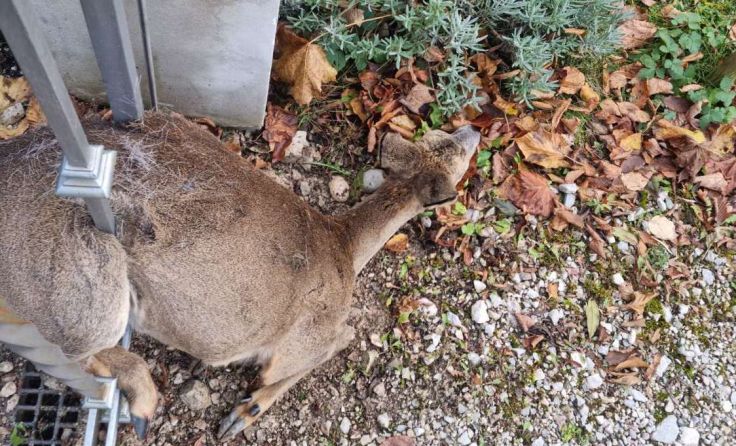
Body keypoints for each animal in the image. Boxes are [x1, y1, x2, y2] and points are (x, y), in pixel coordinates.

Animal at [0, 111, 479, 441]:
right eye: (459, 154)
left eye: (441, 137)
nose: (474, 128)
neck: (345, 249)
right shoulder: (306, 336)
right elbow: (336, 342)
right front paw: (245, 410)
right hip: (80, 278)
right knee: (73, 347)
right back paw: (144, 405)